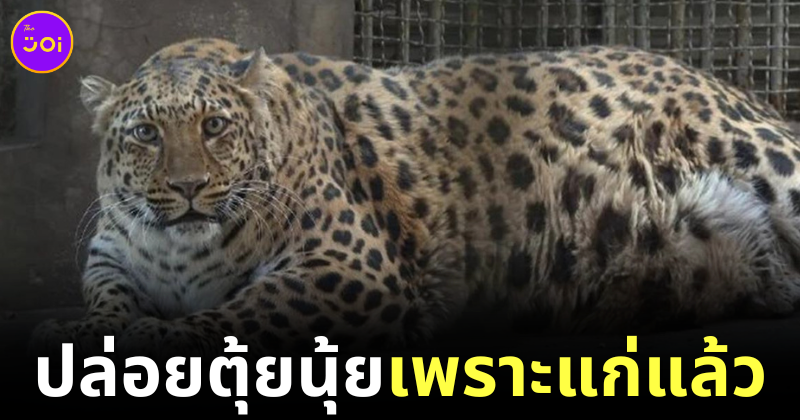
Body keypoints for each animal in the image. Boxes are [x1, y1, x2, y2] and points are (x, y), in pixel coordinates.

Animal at [29, 37, 800, 359]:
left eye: (214, 126)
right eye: (145, 134)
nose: (188, 188)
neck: (179, 254)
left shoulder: (349, 266)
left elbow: (233, 315)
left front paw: (148, 335)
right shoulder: (111, 253)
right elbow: (107, 293)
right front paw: (87, 327)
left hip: (764, 157)